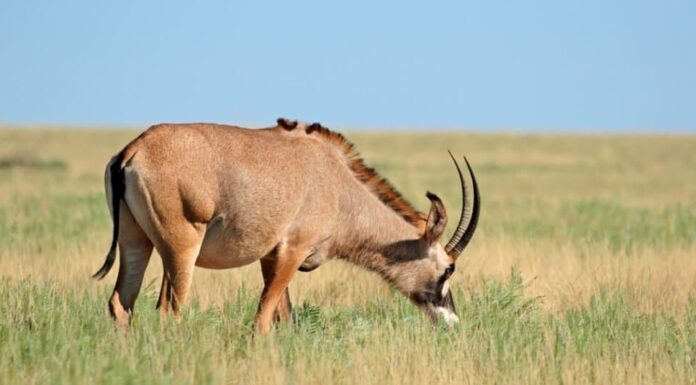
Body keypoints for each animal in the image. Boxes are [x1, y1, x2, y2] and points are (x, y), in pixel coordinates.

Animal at [95, 118, 478, 332]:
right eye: (448, 269)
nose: (452, 323)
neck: (337, 182)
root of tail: (133, 150)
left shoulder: (269, 257)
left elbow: (285, 317)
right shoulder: (293, 251)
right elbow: (264, 319)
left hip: (137, 242)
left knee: (120, 304)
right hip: (181, 250)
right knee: (169, 310)